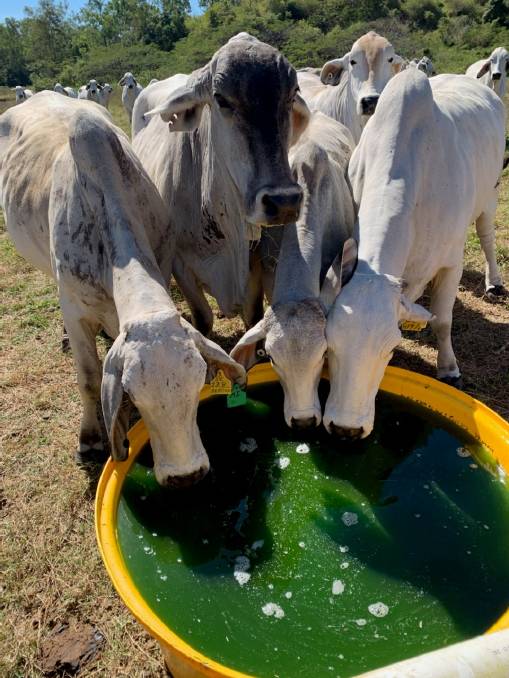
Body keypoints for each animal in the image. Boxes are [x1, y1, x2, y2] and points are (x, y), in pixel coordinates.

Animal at [0, 93, 246, 492]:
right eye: (135, 396)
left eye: (198, 386)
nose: (186, 476)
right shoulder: (75, 307)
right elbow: (89, 378)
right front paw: (89, 439)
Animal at [133, 32, 308, 338]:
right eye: (220, 99)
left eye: (291, 94)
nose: (284, 202)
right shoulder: (181, 263)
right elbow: (203, 318)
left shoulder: (254, 262)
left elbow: (253, 315)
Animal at [322, 69, 504, 440]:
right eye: (329, 343)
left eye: (390, 349)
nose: (346, 429)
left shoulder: (451, 262)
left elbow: (444, 320)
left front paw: (448, 368)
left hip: (490, 196)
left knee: (487, 236)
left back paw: (494, 282)